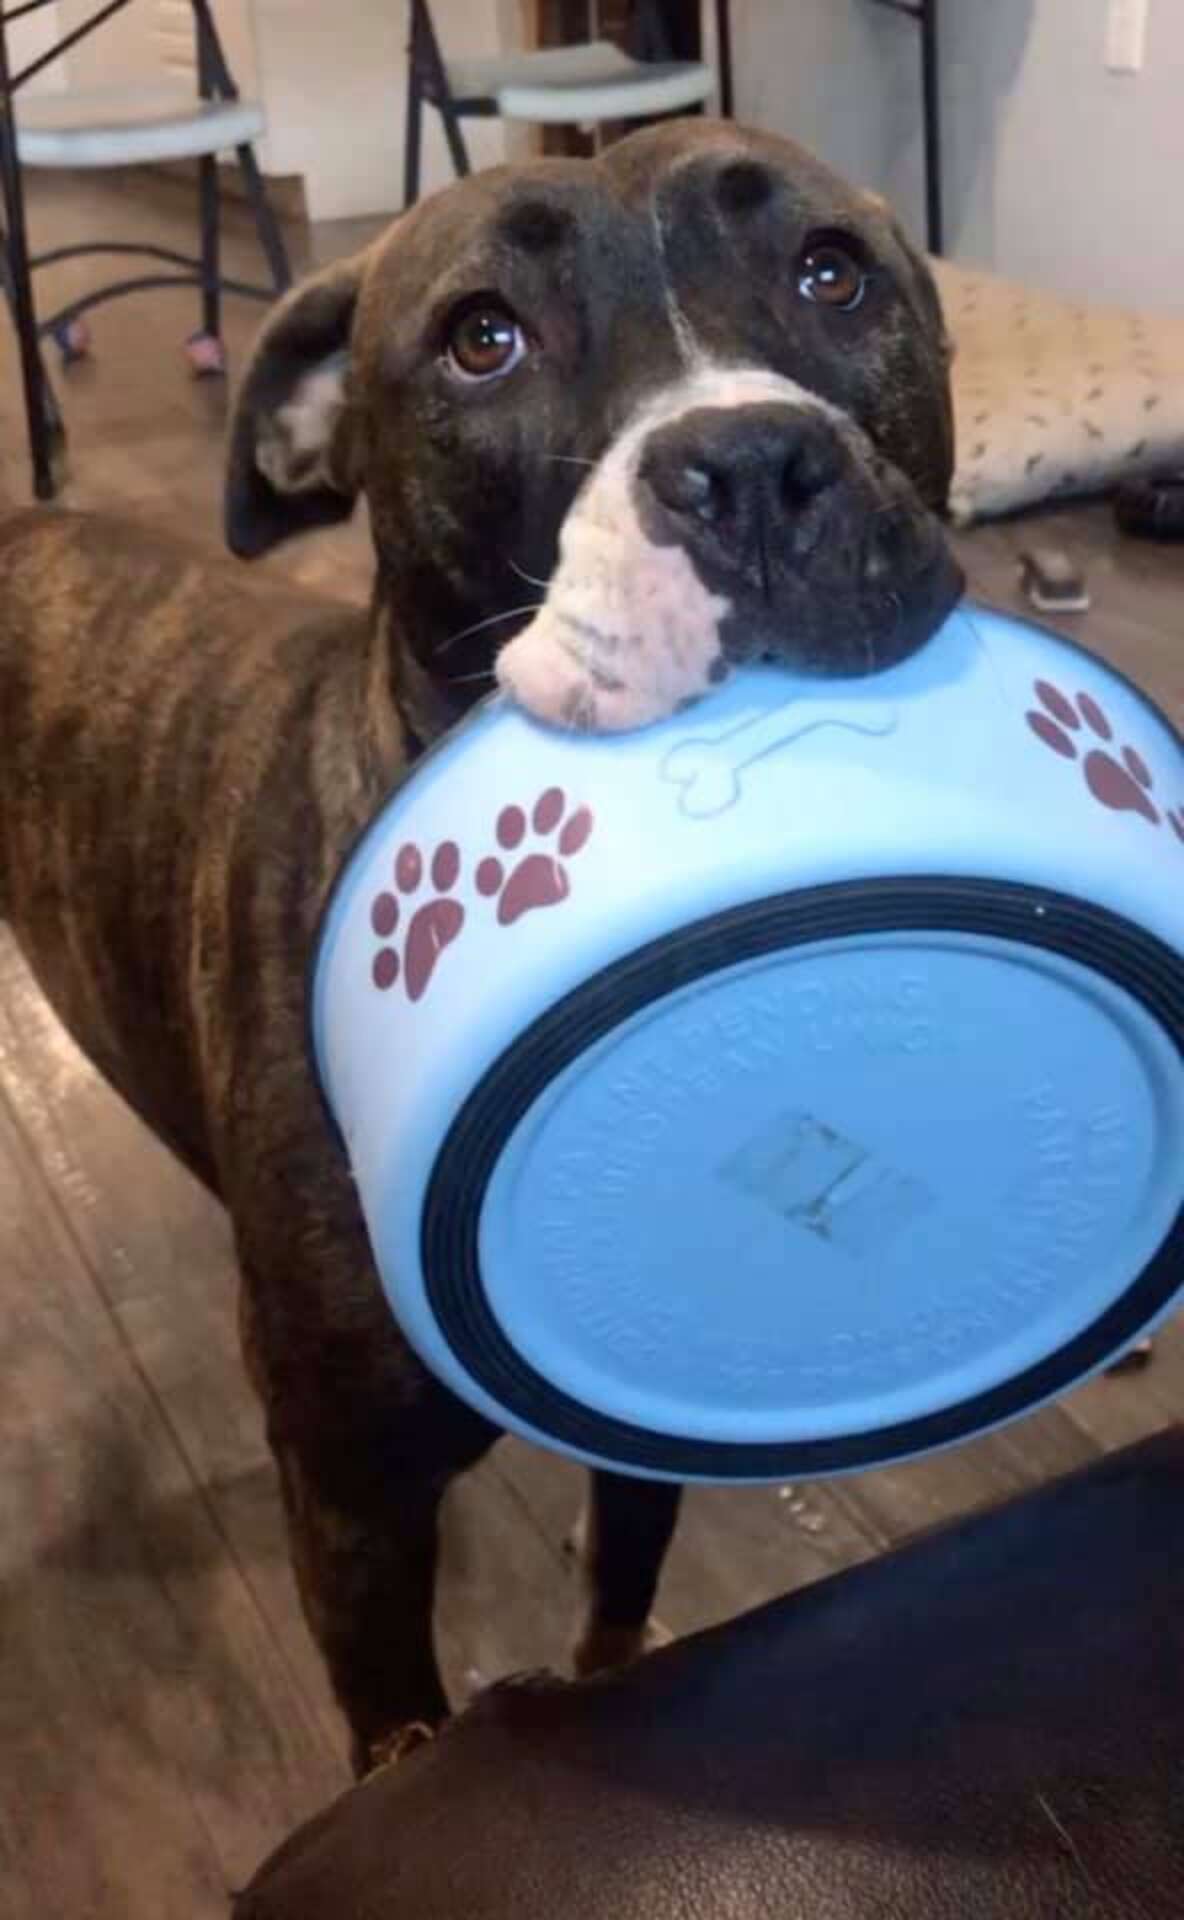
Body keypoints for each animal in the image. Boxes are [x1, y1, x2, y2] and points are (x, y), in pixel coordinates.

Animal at [0, 116, 959, 1766]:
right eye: (481, 340)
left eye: (832, 271)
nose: (748, 468)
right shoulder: (353, 1506)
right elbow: (401, 1722)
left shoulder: (645, 1429)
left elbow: (620, 1590)